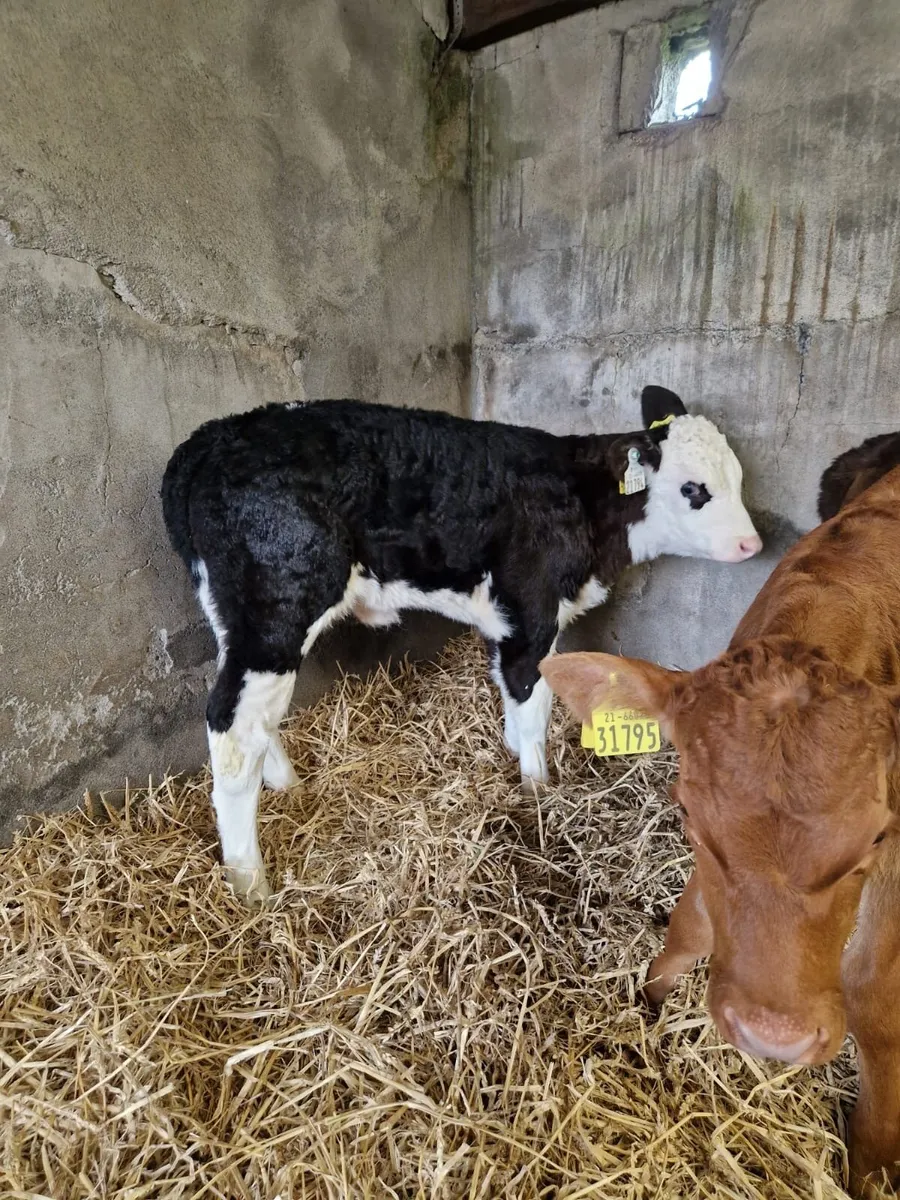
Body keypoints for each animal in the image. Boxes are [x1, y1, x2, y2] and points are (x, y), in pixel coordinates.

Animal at [161, 387, 761, 903]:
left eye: (737, 477)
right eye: (694, 488)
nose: (752, 544)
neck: (583, 502)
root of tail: (212, 437)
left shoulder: (506, 620)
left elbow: (510, 690)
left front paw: (515, 754)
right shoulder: (533, 612)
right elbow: (534, 702)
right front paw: (538, 791)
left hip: (238, 617)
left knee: (248, 715)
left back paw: (288, 787)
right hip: (279, 608)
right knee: (233, 729)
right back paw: (251, 884)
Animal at [540, 461, 900, 1196]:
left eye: (874, 838)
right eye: (686, 814)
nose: (773, 1037)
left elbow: (874, 992)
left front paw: (874, 1162)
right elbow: (693, 925)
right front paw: (648, 1002)